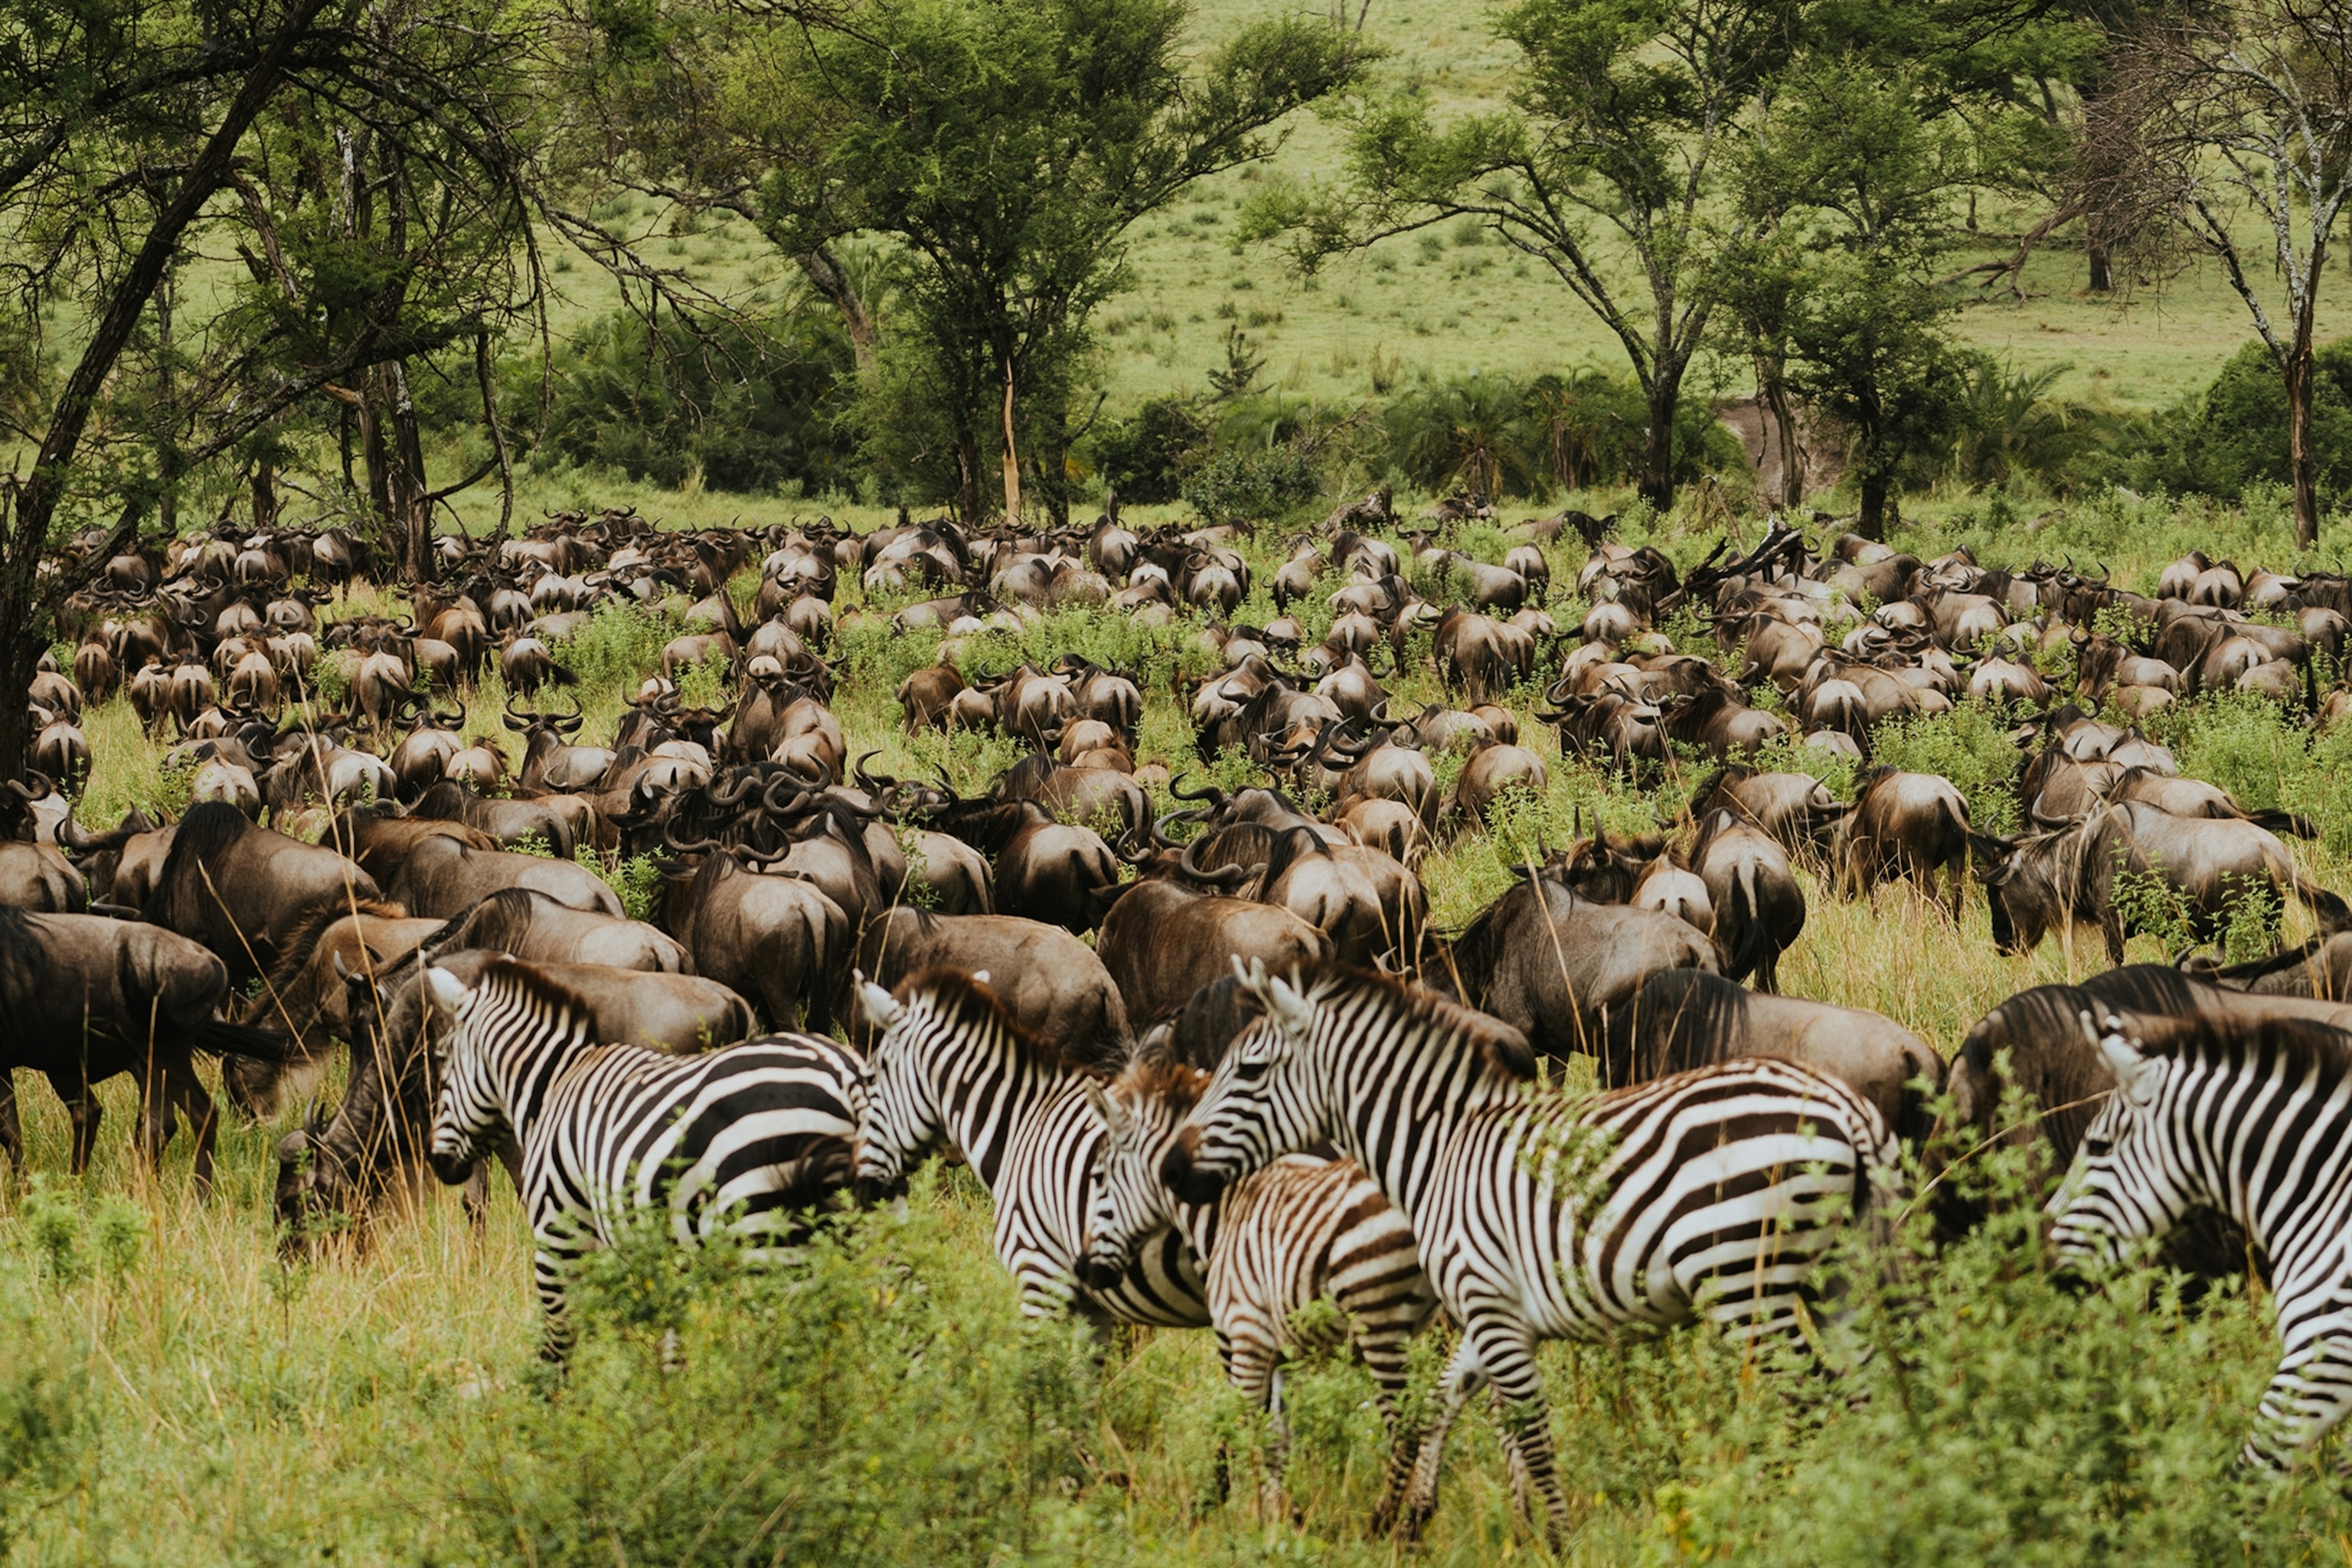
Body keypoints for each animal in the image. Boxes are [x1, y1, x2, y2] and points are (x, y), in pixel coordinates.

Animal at [423, 956, 868, 1361]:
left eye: (442, 1063)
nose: (438, 1163)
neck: (555, 1083)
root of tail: (843, 1074)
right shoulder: (658, 1253)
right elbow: (664, 1339)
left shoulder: (557, 1230)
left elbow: (557, 1343)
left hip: (765, 1227)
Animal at [1081, 1053, 1439, 1530]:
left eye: (1098, 1177)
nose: (1084, 1269)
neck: (1226, 1210)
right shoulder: (1279, 1349)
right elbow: (1276, 1439)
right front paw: (1284, 1518)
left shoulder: (1246, 1334)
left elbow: (1245, 1427)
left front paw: (1253, 1522)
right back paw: (1423, 1516)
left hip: (1379, 1320)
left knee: (1408, 1426)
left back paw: (1385, 1525)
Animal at [1160, 958, 1901, 1541]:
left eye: (1249, 1070)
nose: (1171, 1168)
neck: (1440, 1150)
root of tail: (1843, 1104)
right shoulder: (1484, 1310)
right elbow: (1444, 1402)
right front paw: (1405, 1519)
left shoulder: (1492, 1309)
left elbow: (1532, 1438)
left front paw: (1558, 1541)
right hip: (1836, 1276)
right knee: (1865, 1389)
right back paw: (1865, 1502)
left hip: (1743, 1283)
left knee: (1809, 1395)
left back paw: (1772, 1510)